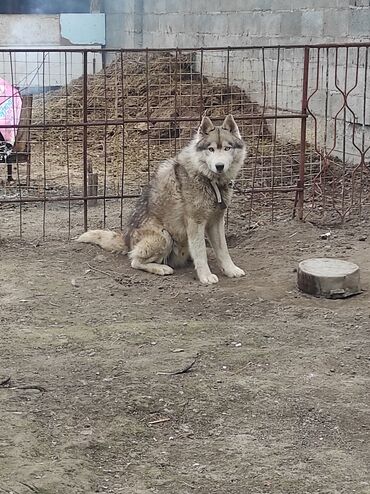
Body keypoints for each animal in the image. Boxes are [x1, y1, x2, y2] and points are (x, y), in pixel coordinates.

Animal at [76, 114, 246, 284]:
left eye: (227, 148)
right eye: (211, 149)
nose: (219, 166)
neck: (209, 180)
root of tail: (125, 239)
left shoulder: (216, 222)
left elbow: (223, 251)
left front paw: (231, 270)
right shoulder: (195, 223)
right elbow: (201, 253)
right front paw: (205, 276)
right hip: (164, 237)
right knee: (135, 261)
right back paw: (162, 268)